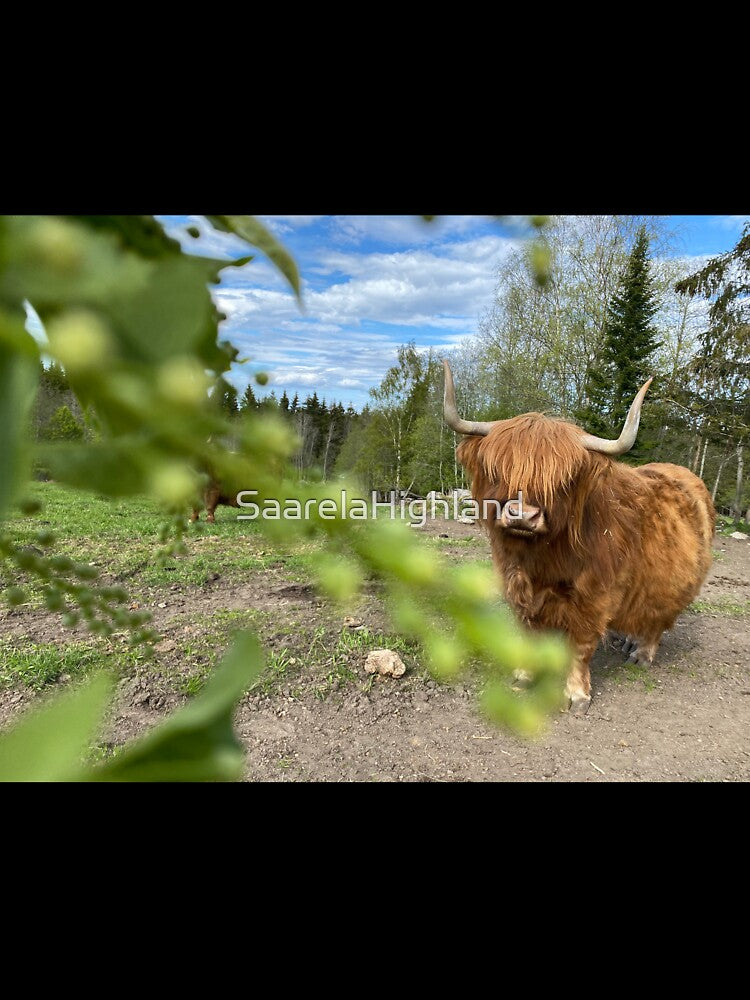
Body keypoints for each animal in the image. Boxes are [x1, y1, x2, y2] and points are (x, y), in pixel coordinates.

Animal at [443, 360, 715, 714]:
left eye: (564, 480)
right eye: (498, 470)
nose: (522, 515)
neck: (542, 561)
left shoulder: (595, 598)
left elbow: (582, 646)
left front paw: (577, 694)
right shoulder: (519, 589)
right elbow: (528, 635)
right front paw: (523, 676)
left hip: (675, 585)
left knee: (658, 620)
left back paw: (642, 654)